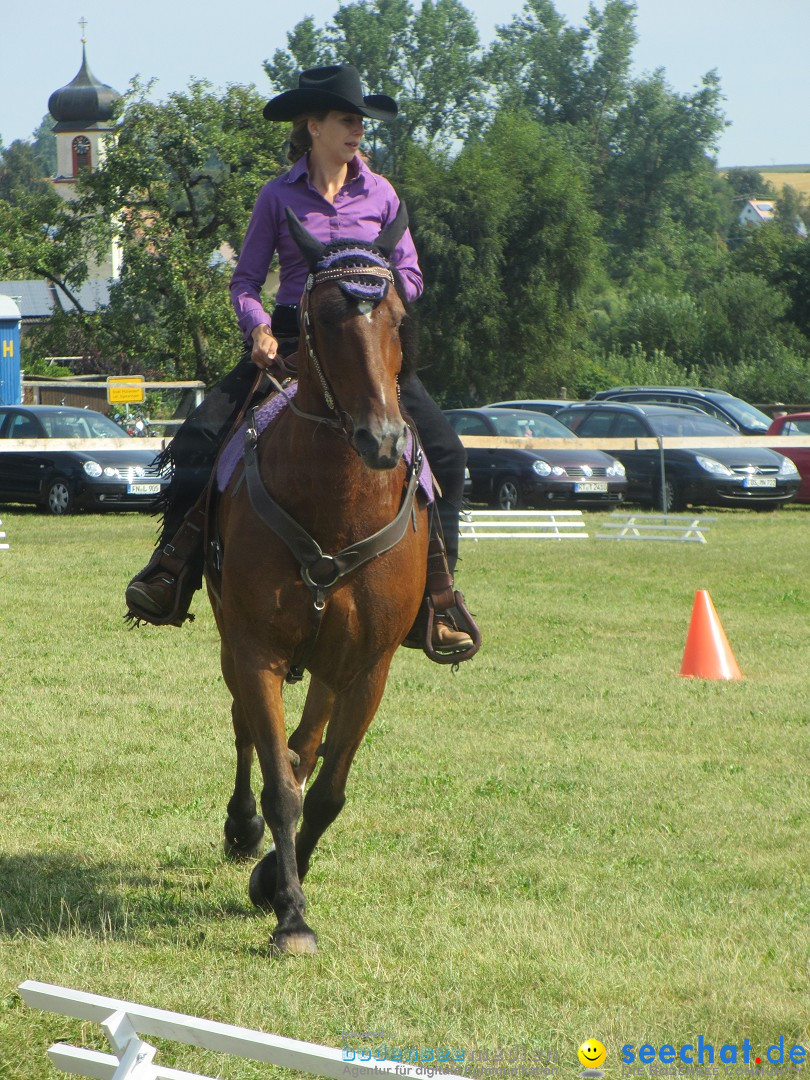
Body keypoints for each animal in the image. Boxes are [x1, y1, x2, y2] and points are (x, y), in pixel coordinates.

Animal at [206, 206, 427, 959]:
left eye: (397, 314)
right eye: (325, 318)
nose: (382, 439)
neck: (335, 507)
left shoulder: (368, 667)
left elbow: (325, 789)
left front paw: (279, 884)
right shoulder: (255, 651)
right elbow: (279, 782)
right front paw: (292, 915)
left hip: (330, 664)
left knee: (306, 746)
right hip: (233, 644)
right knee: (248, 731)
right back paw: (241, 829)